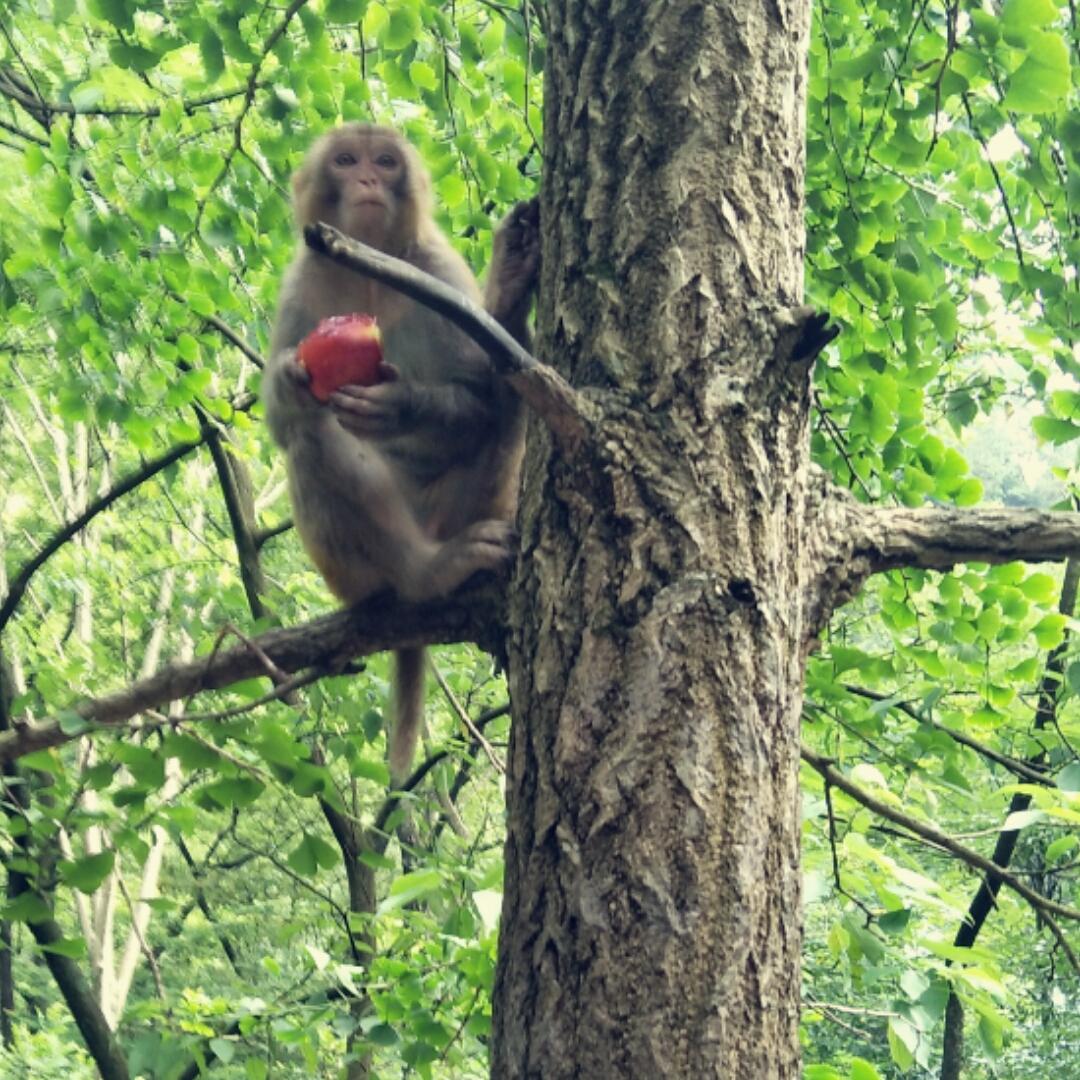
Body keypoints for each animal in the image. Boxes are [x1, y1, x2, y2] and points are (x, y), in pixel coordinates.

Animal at [262, 124, 540, 794]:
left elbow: (475, 395)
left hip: (474, 506)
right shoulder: (301, 281)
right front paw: (288, 382)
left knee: (507, 382)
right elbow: (284, 423)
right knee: (311, 437)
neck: (371, 268)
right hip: (349, 574)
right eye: (345, 159)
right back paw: (416, 576)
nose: (366, 177)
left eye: (385, 162)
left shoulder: (436, 269)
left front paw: (398, 404)